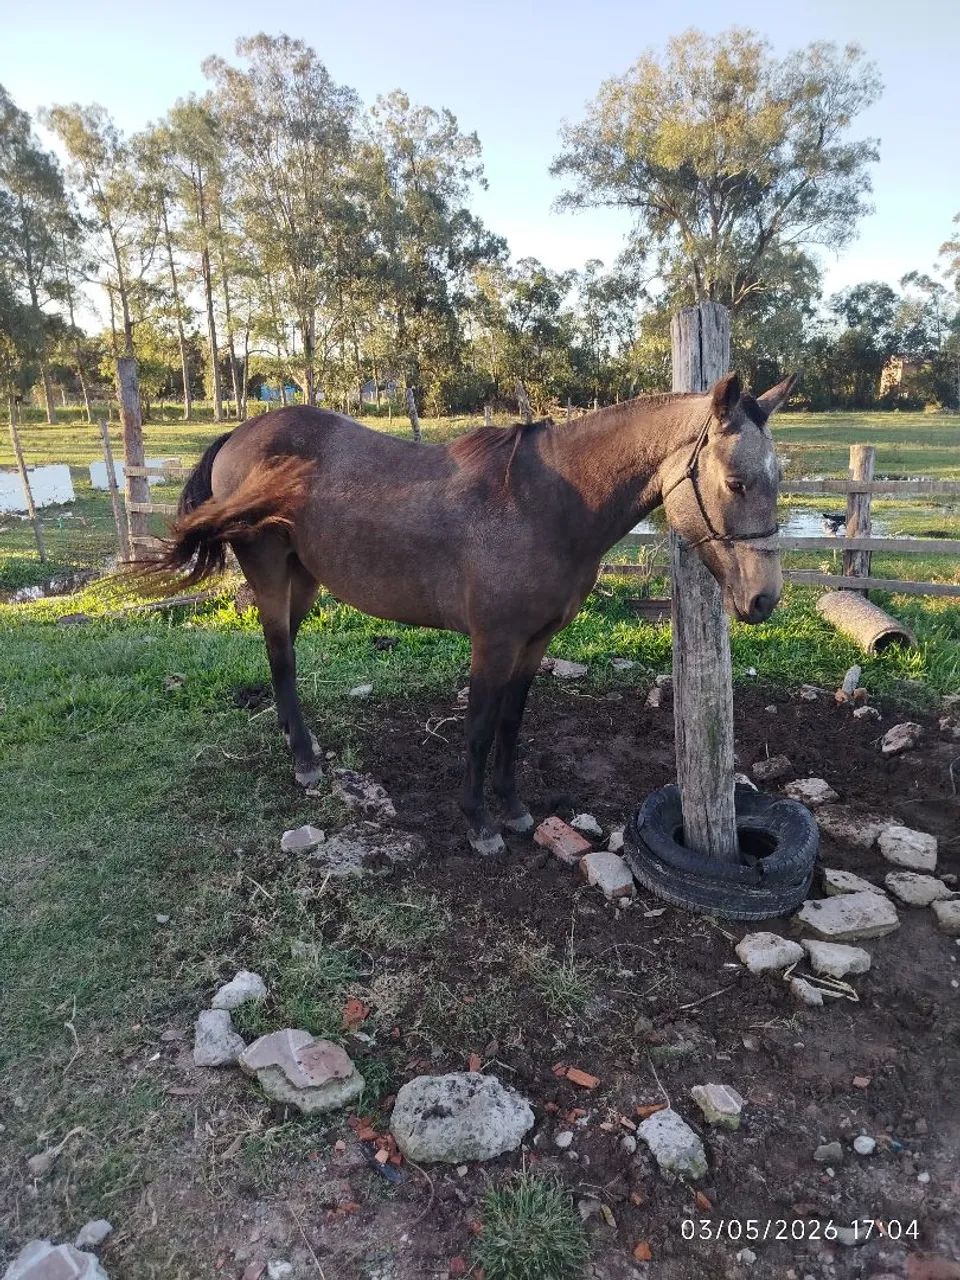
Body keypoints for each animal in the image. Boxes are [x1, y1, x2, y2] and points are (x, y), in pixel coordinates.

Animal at [146, 370, 794, 856]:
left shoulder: (535, 643)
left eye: (777, 478)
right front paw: (478, 822)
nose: (764, 598)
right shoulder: (494, 643)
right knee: (280, 655)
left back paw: (295, 740)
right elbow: (480, 729)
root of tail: (240, 432)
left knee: (280, 653)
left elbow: (511, 724)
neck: (549, 506)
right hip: (270, 572)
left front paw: (513, 808)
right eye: (736, 482)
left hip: (303, 578)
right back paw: (304, 761)